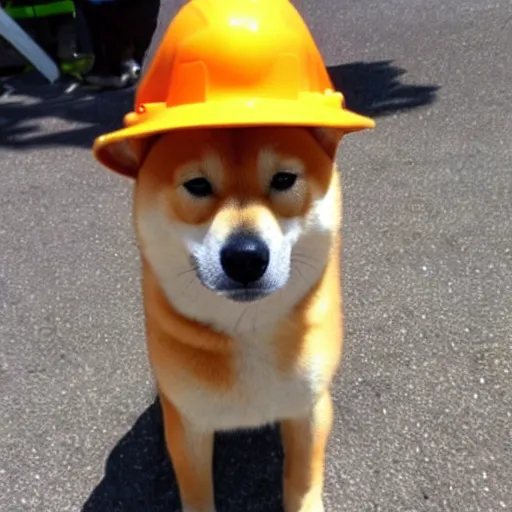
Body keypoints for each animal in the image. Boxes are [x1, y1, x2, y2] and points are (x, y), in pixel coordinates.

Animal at [126, 125, 346, 512]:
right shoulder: (188, 424)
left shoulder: (310, 407)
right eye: (198, 185)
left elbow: (302, 477)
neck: (249, 332)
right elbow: (197, 492)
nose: (245, 256)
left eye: (284, 179)